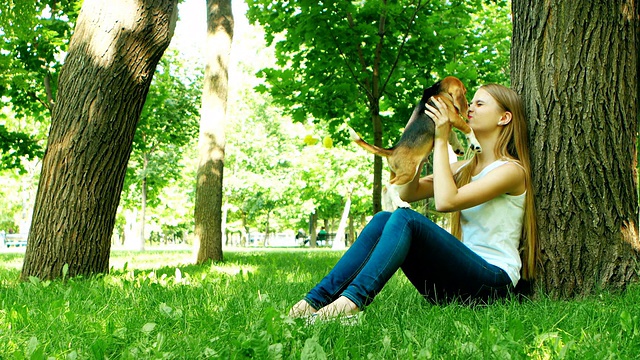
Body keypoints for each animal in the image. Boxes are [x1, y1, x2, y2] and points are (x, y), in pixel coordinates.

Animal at [350, 77, 480, 210]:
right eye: (464, 91)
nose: (469, 106)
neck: (438, 91)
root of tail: (392, 150)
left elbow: (452, 134)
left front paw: (458, 148)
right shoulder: (453, 117)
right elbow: (468, 128)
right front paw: (475, 144)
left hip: (395, 172)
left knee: (385, 189)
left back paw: (390, 209)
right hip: (409, 172)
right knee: (391, 186)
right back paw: (401, 204)